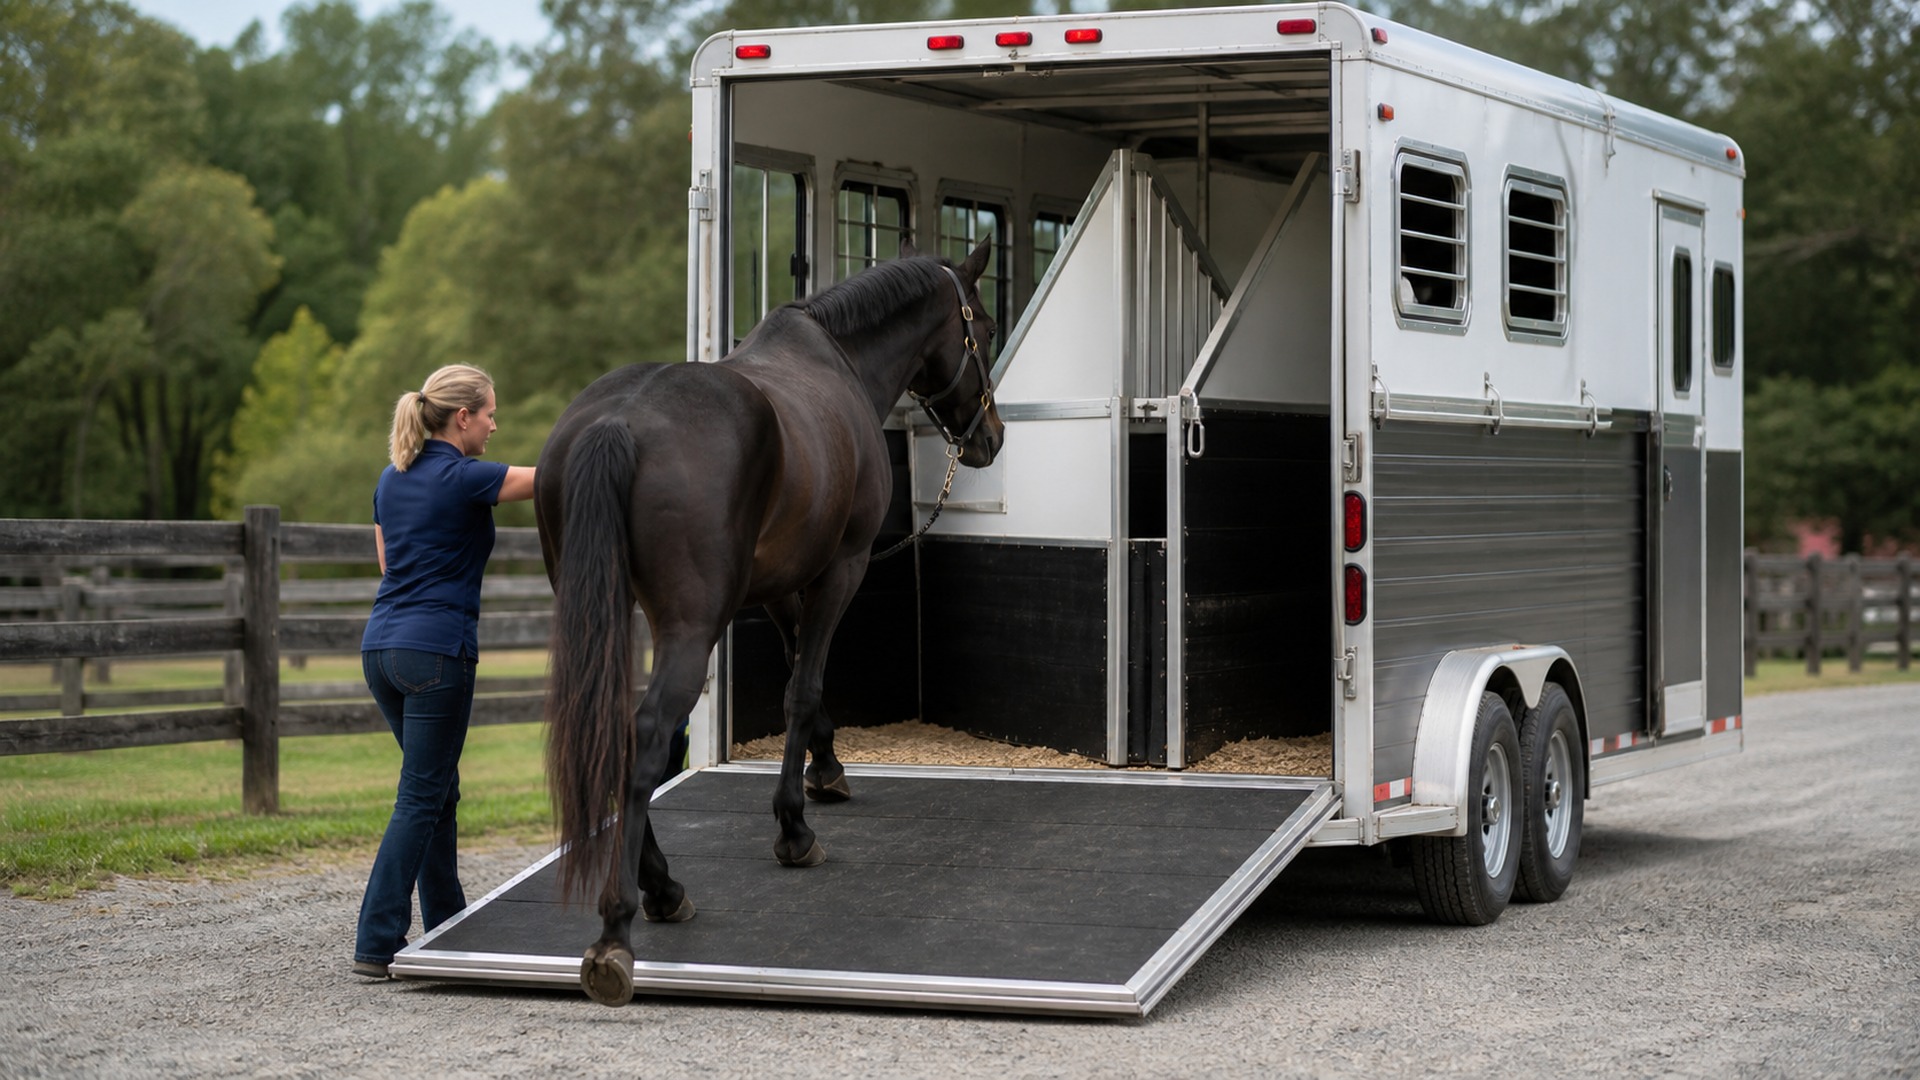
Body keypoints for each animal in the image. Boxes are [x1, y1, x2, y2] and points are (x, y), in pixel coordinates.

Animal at [533, 237, 1003, 1007]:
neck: (838, 360)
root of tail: (616, 423)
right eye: (985, 329)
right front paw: (794, 828)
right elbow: (805, 688)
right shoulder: (841, 567)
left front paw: (827, 773)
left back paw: (663, 888)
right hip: (689, 627)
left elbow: (797, 680)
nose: (990, 437)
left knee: (613, 732)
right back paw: (622, 925)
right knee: (646, 734)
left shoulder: (781, 586)